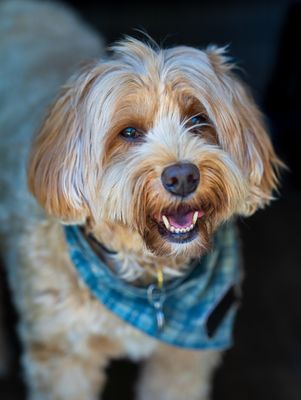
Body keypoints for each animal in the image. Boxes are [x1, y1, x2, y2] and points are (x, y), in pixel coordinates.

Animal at [0, 0, 282, 400]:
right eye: (129, 132)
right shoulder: (63, 359)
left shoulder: (181, 360)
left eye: (198, 120)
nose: (182, 177)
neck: (150, 285)